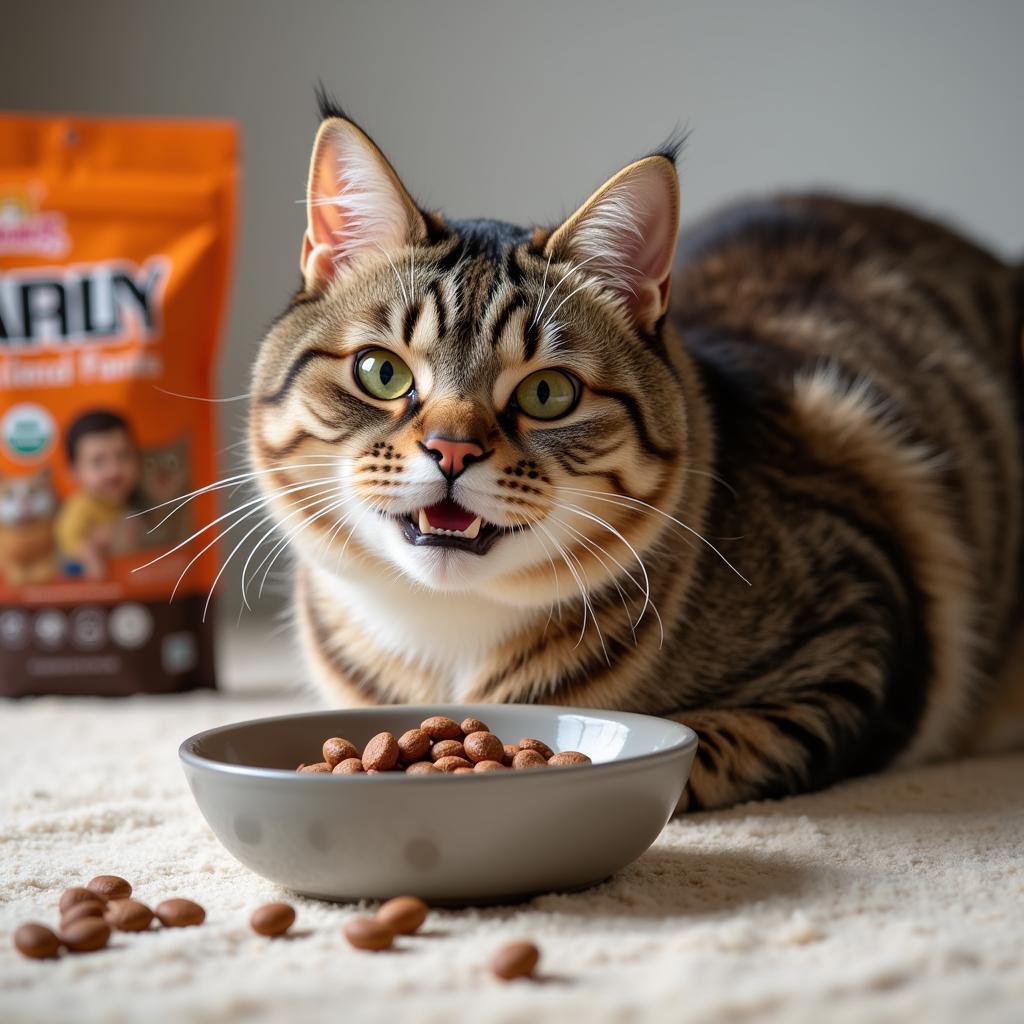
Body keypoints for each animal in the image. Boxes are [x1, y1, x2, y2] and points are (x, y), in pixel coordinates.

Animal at [243, 97, 1019, 815]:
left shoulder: (856, 631)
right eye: (382, 373)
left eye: (548, 392)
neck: (449, 638)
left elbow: (706, 749)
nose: (452, 448)